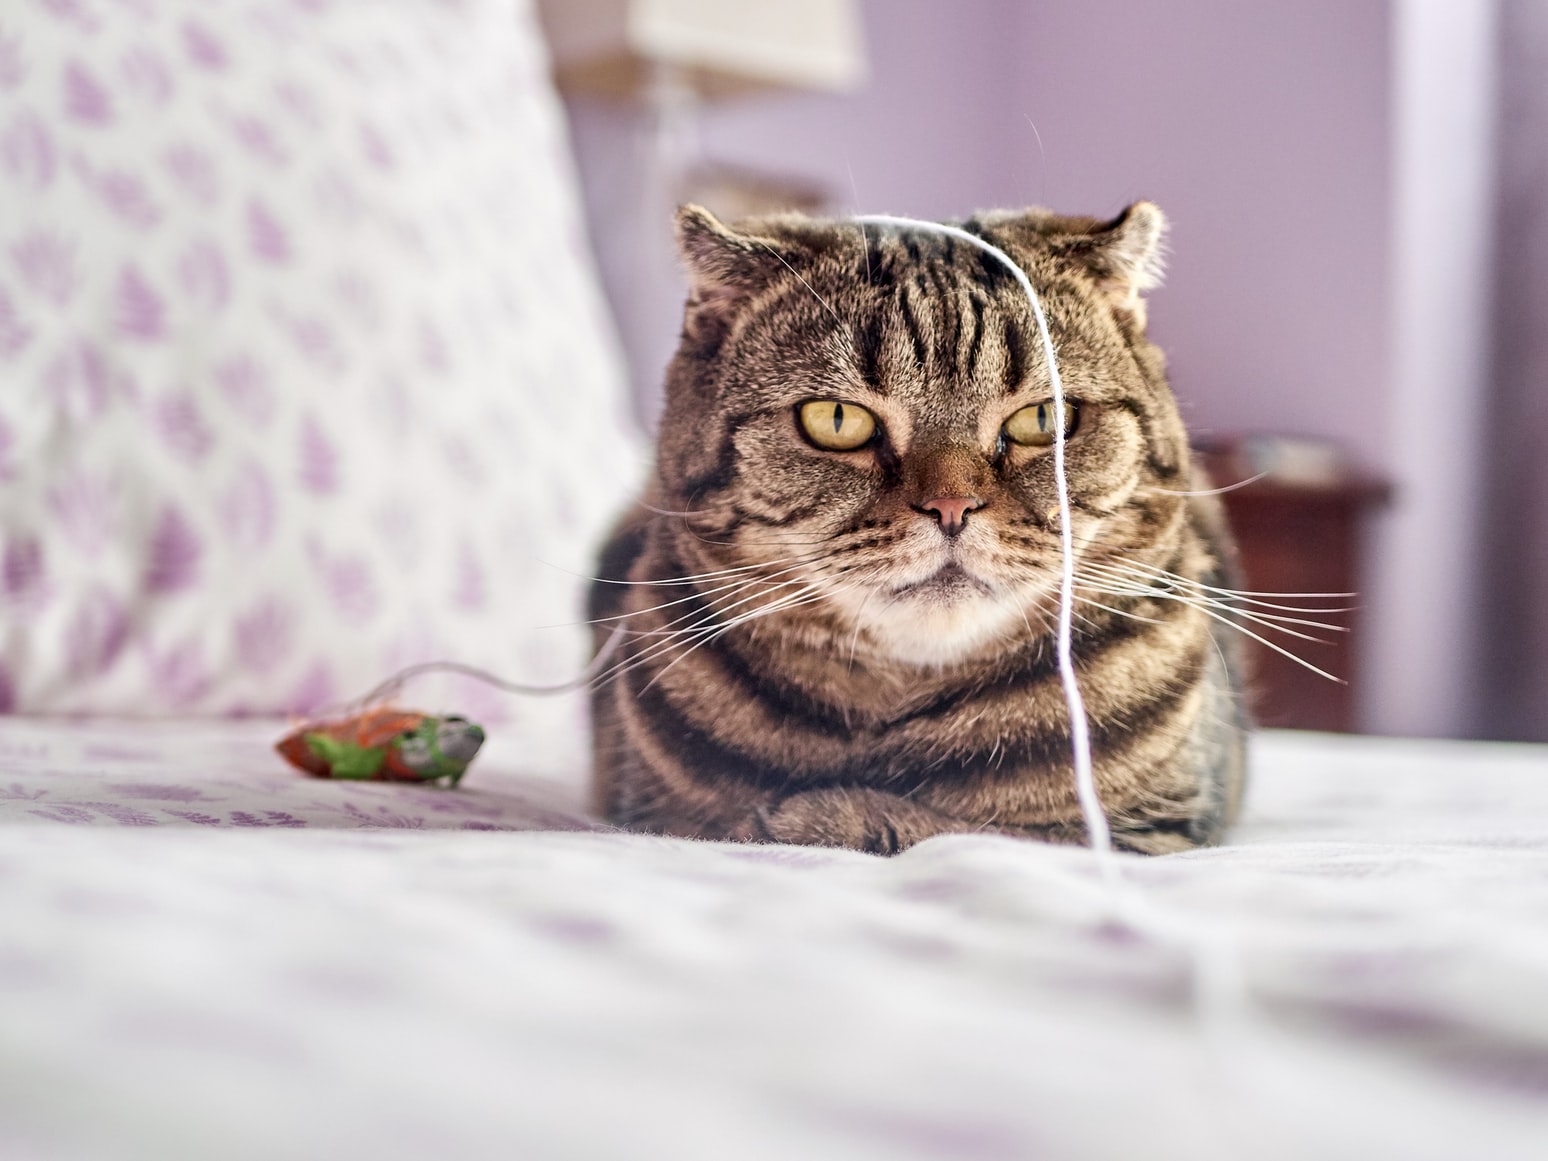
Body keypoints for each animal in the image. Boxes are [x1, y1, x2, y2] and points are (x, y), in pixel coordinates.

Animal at [585, 202, 1250, 854]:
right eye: (835, 419)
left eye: (1043, 417)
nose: (951, 506)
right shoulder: (644, 808)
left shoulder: (1154, 834)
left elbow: (982, 831)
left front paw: (822, 816)